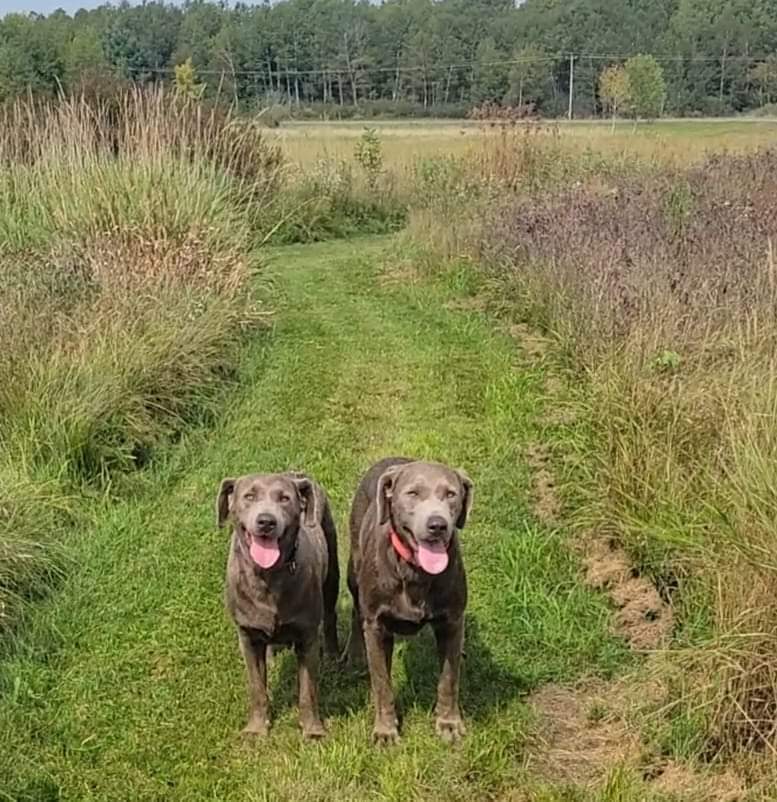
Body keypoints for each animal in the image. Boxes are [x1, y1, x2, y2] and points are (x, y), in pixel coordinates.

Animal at [218, 468, 340, 736]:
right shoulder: (247, 636)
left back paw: (334, 655)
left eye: (284, 498)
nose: (266, 521)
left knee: (330, 614)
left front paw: (312, 729)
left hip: (332, 565)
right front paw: (256, 729)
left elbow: (307, 690)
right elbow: (257, 688)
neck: (268, 576)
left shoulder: (306, 635)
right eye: (249, 496)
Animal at [348, 454, 472, 740]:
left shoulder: (452, 620)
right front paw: (386, 730)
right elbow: (382, 683)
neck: (416, 571)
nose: (437, 525)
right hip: (353, 570)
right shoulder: (377, 625)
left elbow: (449, 679)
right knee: (356, 610)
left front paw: (449, 723)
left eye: (451, 494)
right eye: (413, 493)